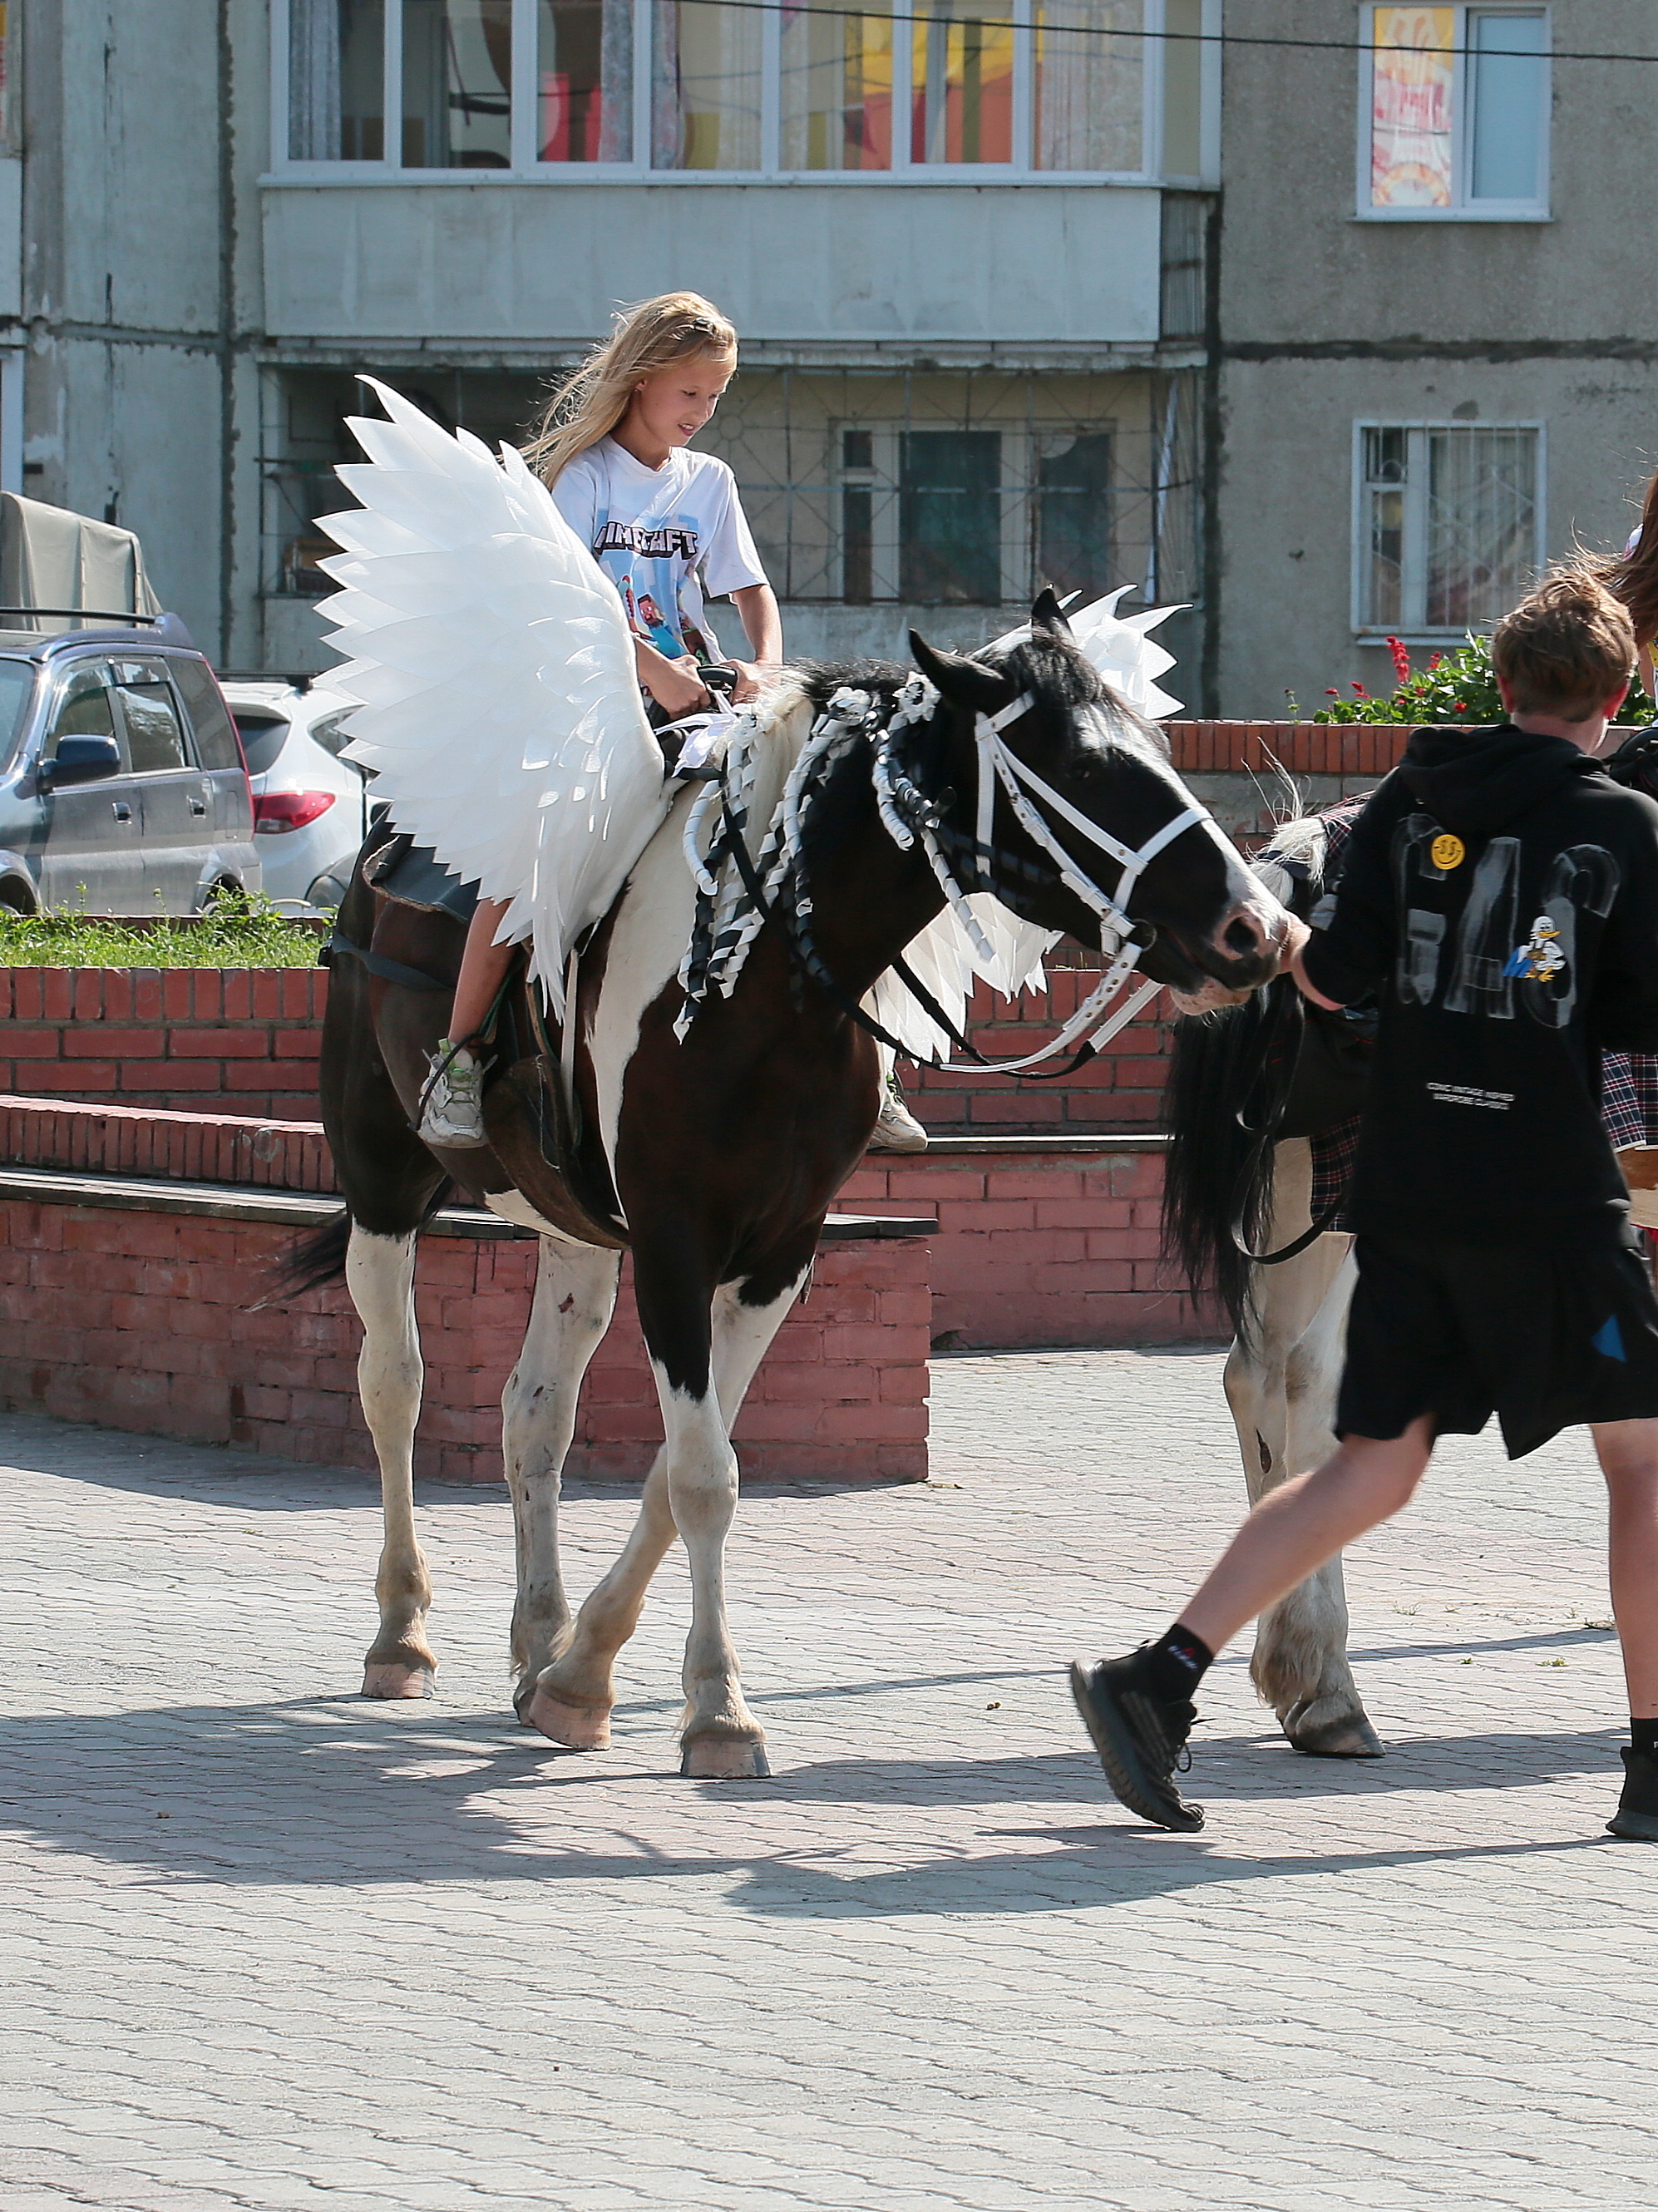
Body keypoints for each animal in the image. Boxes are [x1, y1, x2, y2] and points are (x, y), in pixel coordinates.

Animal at [304, 601, 1300, 1778]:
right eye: (1084, 767)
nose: (1260, 931)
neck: (764, 987)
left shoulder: (778, 1251)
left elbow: (681, 1465)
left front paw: (580, 1674)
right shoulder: (676, 1245)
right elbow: (702, 1475)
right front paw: (714, 1711)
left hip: (574, 1231)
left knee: (531, 1410)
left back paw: (534, 1635)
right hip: (381, 1181)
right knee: (394, 1383)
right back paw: (400, 1632)